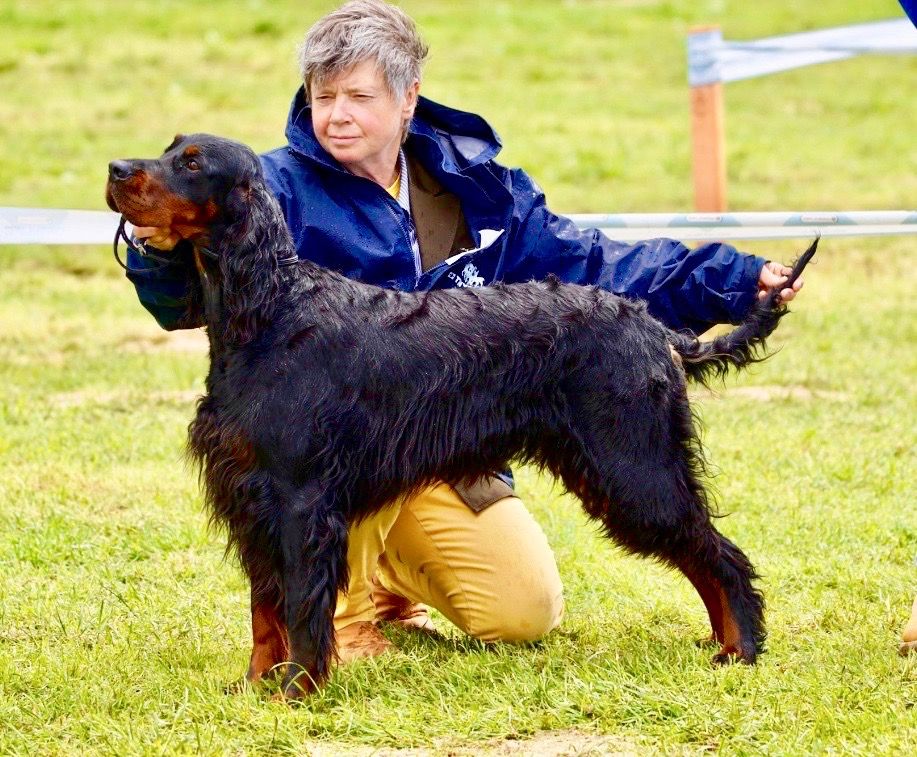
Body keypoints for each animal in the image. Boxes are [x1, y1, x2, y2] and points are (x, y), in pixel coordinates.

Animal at [107, 131, 816, 696]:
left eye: (192, 162)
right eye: (169, 149)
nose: (115, 168)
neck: (271, 310)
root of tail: (651, 323)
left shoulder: (301, 501)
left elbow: (302, 610)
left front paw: (299, 691)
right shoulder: (253, 498)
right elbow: (265, 612)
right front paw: (257, 685)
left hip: (634, 467)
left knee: (720, 555)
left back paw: (742, 651)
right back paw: (724, 646)